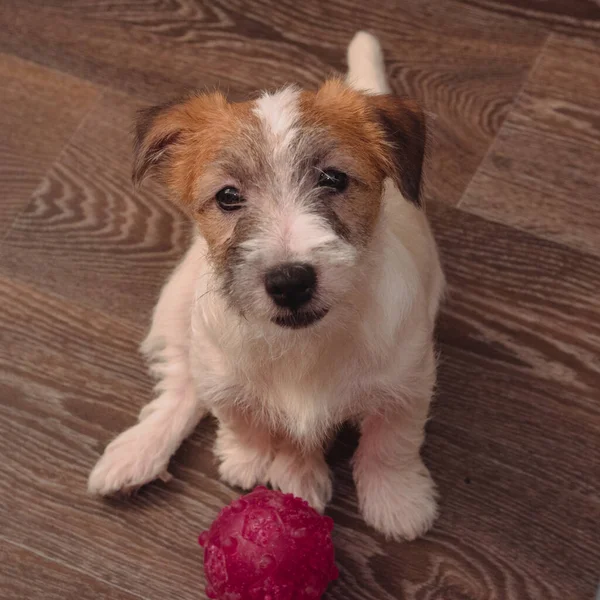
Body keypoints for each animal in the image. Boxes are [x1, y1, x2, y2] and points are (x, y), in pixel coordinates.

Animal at [90, 30, 446, 540]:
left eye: (333, 178)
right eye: (228, 196)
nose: (289, 282)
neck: (304, 344)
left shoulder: (407, 383)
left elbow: (390, 443)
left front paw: (396, 499)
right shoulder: (223, 371)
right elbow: (239, 416)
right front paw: (251, 457)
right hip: (177, 305)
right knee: (184, 385)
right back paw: (137, 453)